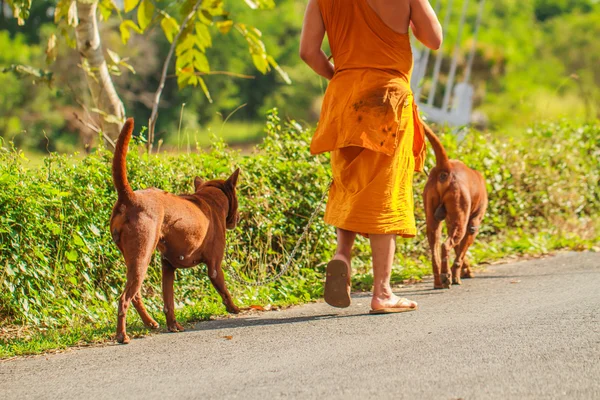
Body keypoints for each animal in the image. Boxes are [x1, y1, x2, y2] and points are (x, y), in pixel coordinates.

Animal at [109, 119, 240, 344]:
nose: (238, 218)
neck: (209, 198)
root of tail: (130, 197)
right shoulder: (214, 266)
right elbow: (224, 290)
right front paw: (234, 308)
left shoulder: (168, 267)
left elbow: (168, 301)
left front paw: (173, 326)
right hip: (142, 255)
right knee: (124, 298)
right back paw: (122, 335)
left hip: (132, 258)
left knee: (135, 294)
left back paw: (150, 322)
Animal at [422, 123, 488, 290]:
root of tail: (446, 167)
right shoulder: (472, 224)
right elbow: (461, 254)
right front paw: (458, 274)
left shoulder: (451, 222)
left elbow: (460, 252)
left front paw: (465, 270)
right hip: (461, 224)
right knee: (445, 246)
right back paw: (446, 276)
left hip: (434, 223)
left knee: (435, 252)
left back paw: (438, 281)